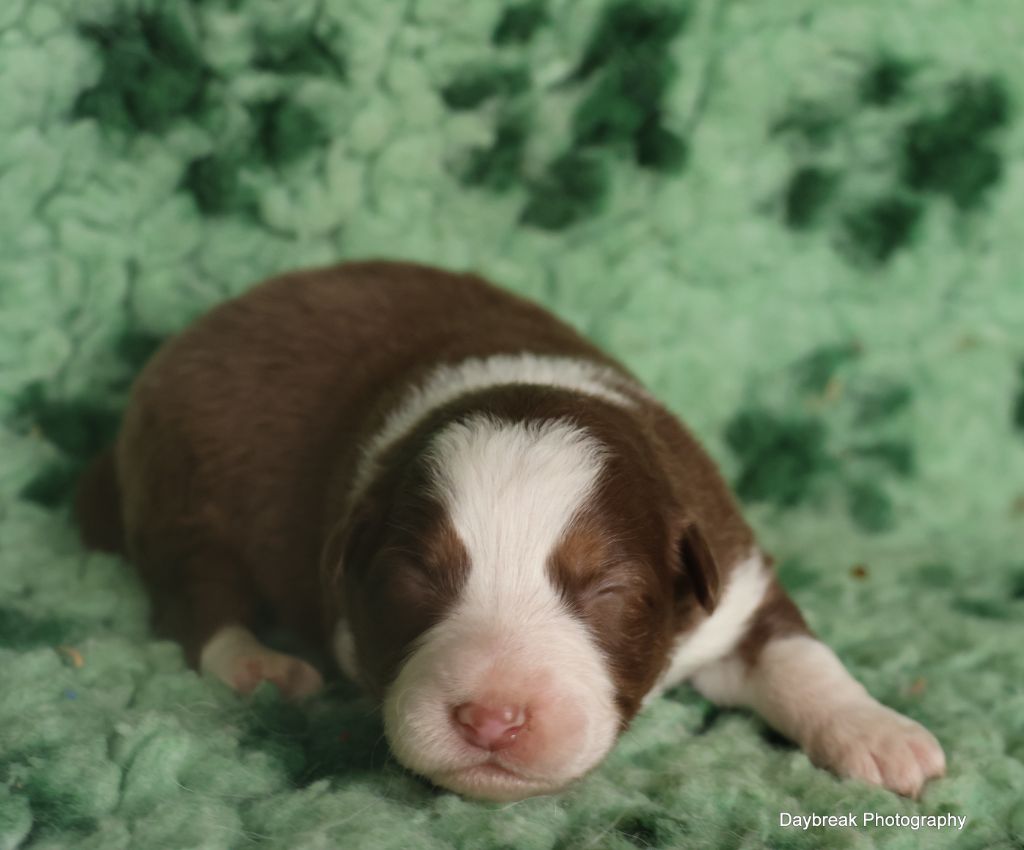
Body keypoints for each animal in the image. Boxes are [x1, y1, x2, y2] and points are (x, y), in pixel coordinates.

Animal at [75, 262, 946, 802]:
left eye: (608, 588)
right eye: (413, 579)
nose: (491, 721)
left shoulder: (731, 576)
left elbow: (799, 655)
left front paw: (880, 732)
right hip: (187, 488)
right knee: (196, 597)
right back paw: (256, 662)